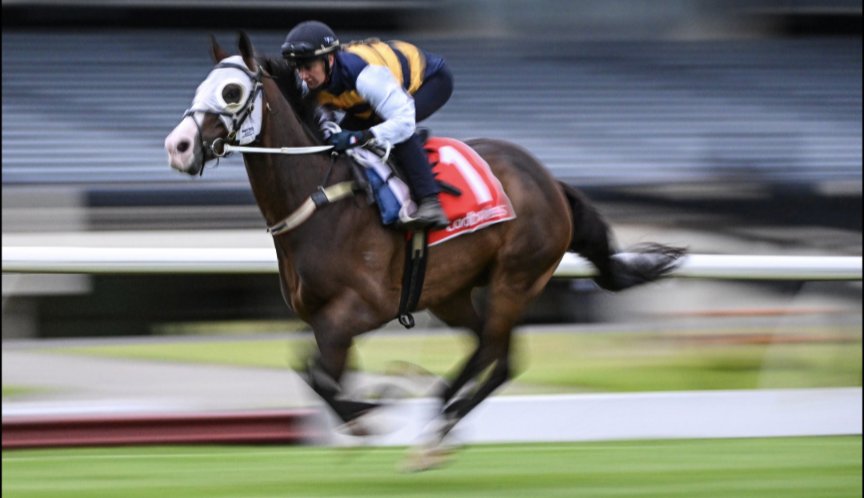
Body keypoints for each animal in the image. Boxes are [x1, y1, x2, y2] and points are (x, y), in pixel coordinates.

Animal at [165, 32, 683, 468]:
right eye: (200, 86)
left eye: (232, 92)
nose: (178, 145)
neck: (321, 198)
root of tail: (551, 181)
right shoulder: (321, 318)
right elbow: (314, 369)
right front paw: (368, 409)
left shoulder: (362, 308)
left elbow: (316, 373)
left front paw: (372, 412)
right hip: (452, 292)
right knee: (493, 351)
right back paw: (438, 421)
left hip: (514, 279)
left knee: (495, 352)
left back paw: (434, 427)